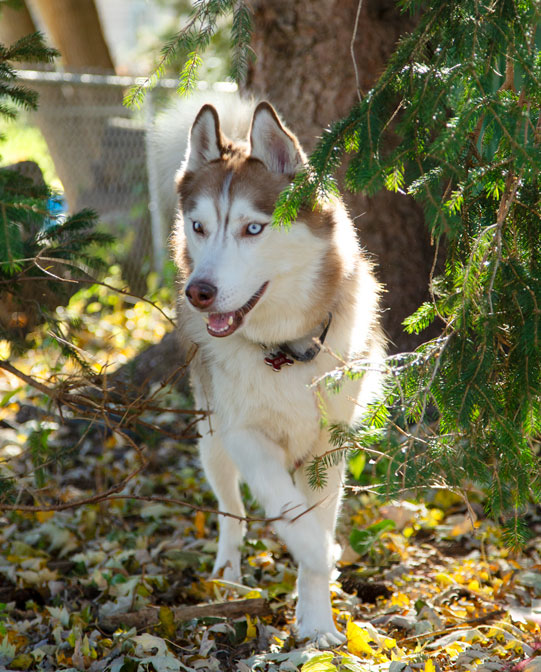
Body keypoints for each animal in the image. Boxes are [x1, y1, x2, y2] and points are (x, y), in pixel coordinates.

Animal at [171, 98, 382, 644]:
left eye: (253, 228)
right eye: (199, 227)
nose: (198, 293)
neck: (286, 349)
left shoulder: (329, 447)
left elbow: (314, 517)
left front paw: (318, 621)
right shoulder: (243, 433)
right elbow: (287, 511)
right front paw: (318, 554)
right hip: (210, 438)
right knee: (231, 509)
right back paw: (227, 571)